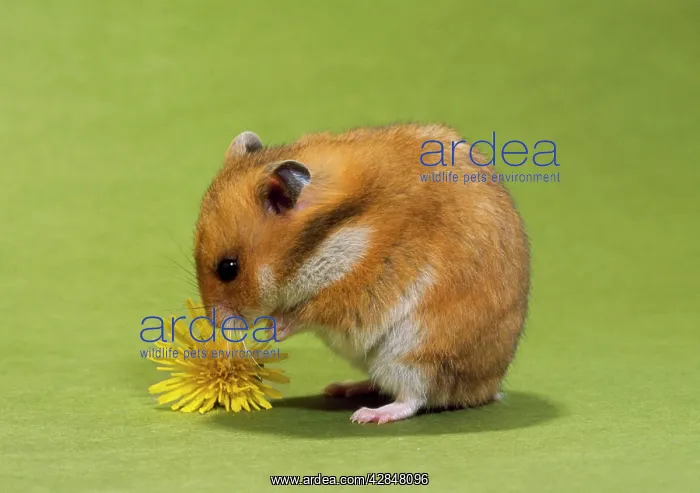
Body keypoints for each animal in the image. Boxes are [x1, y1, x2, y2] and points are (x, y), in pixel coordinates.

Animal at [194, 124, 530, 424]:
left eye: (228, 268)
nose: (215, 327)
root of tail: (487, 388)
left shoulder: (356, 285)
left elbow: (305, 314)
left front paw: (268, 331)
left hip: (417, 352)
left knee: (415, 397)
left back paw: (368, 415)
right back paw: (342, 388)